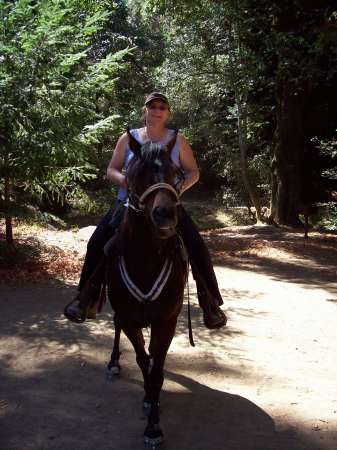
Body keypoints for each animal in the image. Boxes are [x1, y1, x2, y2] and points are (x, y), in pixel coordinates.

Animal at [105, 129, 186, 446]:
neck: (146, 260)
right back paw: (114, 363)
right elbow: (143, 362)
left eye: (176, 173)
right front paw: (152, 421)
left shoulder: (166, 321)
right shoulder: (130, 319)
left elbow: (157, 371)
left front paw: (154, 419)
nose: (165, 215)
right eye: (137, 174)